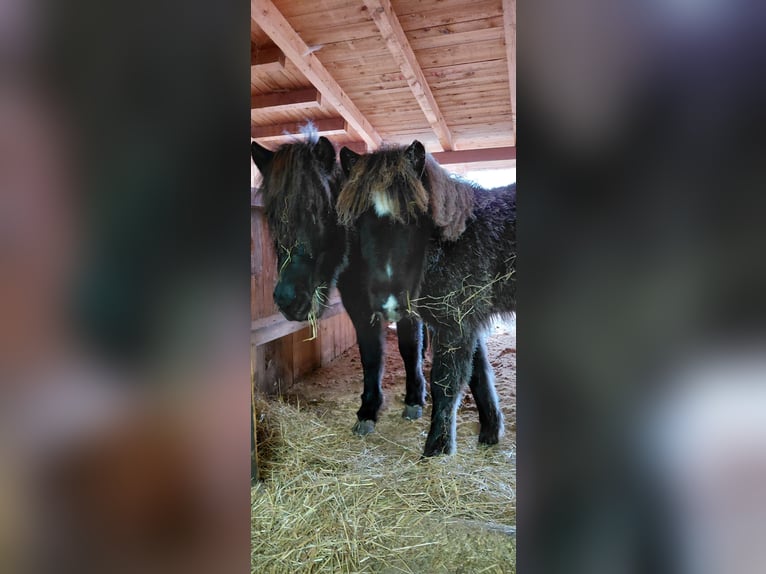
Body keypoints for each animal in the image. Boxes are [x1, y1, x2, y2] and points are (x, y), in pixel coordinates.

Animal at [251, 133, 428, 438]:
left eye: (320, 211)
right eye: (272, 217)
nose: (287, 299)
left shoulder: (407, 303)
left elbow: (409, 348)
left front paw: (415, 399)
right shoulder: (358, 306)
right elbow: (371, 356)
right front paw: (368, 410)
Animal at [337, 140, 516, 456]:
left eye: (413, 216)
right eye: (358, 219)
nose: (388, 301)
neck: (457, 240)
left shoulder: (456, 325)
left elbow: (445, 382)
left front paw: (436, 449)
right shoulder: (467, 322)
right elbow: (479, 375)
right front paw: (490, 433)